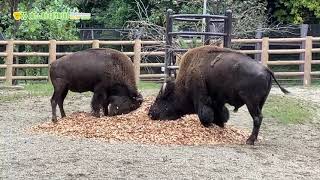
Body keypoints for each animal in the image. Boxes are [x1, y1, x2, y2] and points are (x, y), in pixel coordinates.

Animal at [149, 45, 288, 145]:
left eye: (160, 99)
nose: (150, 113)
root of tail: (266, 69)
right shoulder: (217, 101)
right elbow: (220, 113)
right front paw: (220, 125)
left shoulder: (201, 98)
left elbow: (205, 114)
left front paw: (208, 125)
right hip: (260, 103)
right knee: (259, 118)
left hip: (251, 102)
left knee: (257, 118)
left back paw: (249, 141)